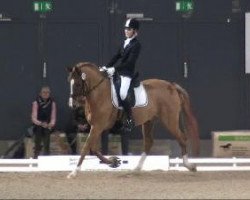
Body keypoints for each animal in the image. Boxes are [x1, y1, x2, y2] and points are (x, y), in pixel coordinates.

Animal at [66, 62, 199, 178]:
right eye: (69, 83)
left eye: (77, 84)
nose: (73, 105)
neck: (99, 94)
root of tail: (172, 86)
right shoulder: (96, 127)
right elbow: (93, 149)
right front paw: (114, 162)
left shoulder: (98, 126)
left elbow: (86, 147)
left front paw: (74, 172)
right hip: (149, 121)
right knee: (148, 142)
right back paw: (136, 169)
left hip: (169, 121)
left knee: (182, 138)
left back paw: (189, 165)